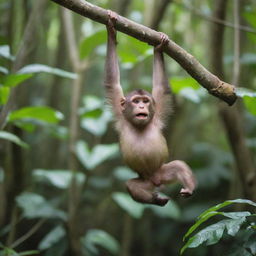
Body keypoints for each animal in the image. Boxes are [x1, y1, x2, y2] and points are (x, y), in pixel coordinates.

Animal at [104, 10, 196, 206]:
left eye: (145, 101)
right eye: (136, 100)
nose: (141, 105)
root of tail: (156, 180)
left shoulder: (157, 111)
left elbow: (160, 87)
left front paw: (159, 48)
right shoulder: (119, 109)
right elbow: (113, 82)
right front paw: (111, 30)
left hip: (163, 171)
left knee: (179, 166)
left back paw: (188, 189)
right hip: (145, 180)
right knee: (132, 186)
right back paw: (156, 199)